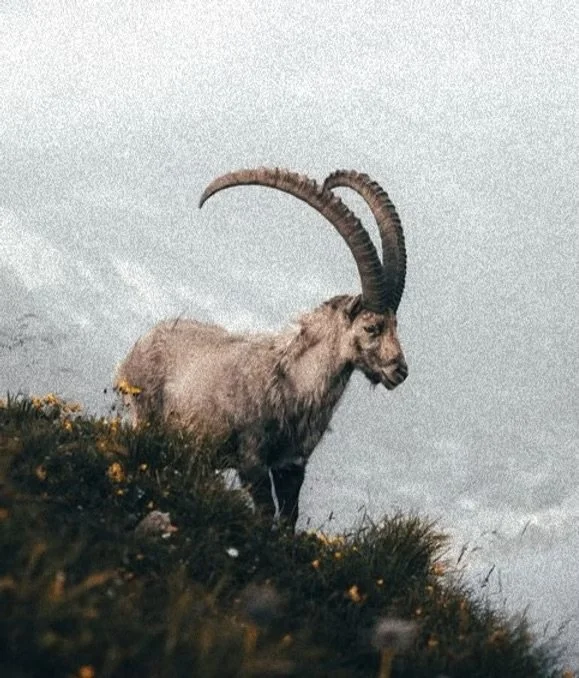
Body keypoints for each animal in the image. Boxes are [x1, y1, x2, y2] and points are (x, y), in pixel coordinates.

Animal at [115, 168, 408, 530]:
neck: (293, 382)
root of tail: (137, 348)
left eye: (396, 325)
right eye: (371, 327)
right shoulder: (251, 460)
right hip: (145, 417)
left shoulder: (292, 466)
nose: (400, 370)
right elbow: (265, 514)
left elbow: (288, 520)